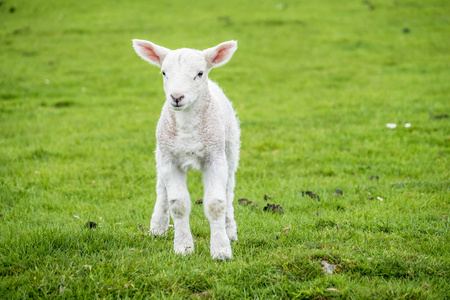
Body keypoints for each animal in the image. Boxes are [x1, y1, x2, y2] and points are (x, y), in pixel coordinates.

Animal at [132, 39, 241, 260]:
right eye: (164, 72)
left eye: (199, 73)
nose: (176, 97)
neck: (188, 127)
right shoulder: (169, 160)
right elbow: (178, 204)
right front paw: (183, 247)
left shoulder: (215, 158)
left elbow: (216, 204)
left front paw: (221, 250)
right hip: (160, 153)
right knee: (161, 190)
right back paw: (157, 227)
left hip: (230, 149)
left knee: (228, 189)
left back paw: (230, 230)